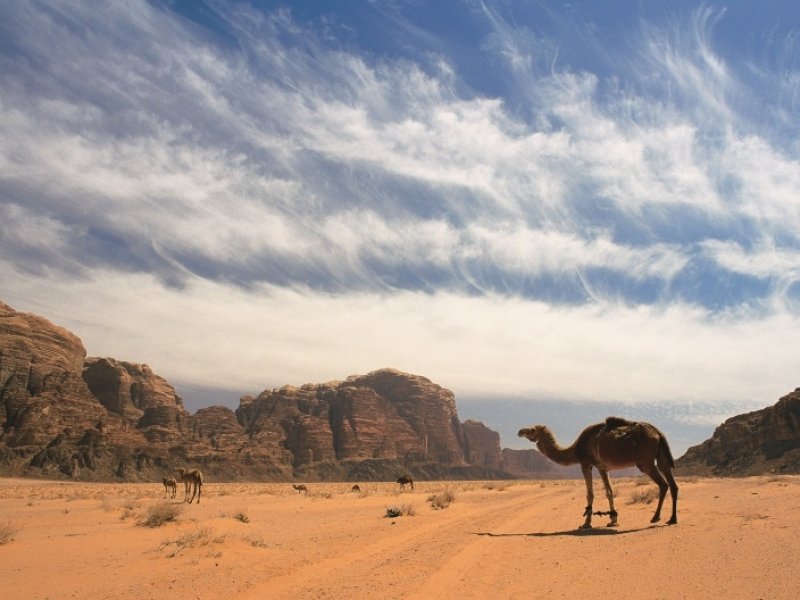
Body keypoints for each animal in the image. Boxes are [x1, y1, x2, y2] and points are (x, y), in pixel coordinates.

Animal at [516, 420, 680, 528]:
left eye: (532, 430)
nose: (519, 432)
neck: (574, 449)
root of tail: (657, 432)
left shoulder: (585, 463)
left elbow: (590, 494)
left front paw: (586, 523)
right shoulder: (602, 467)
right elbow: (609, 491)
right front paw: (613, 519)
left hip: (645, 462)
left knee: (663, 484)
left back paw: (655, 518)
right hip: (660, 456)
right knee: (673, 484)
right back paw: (672, 519)